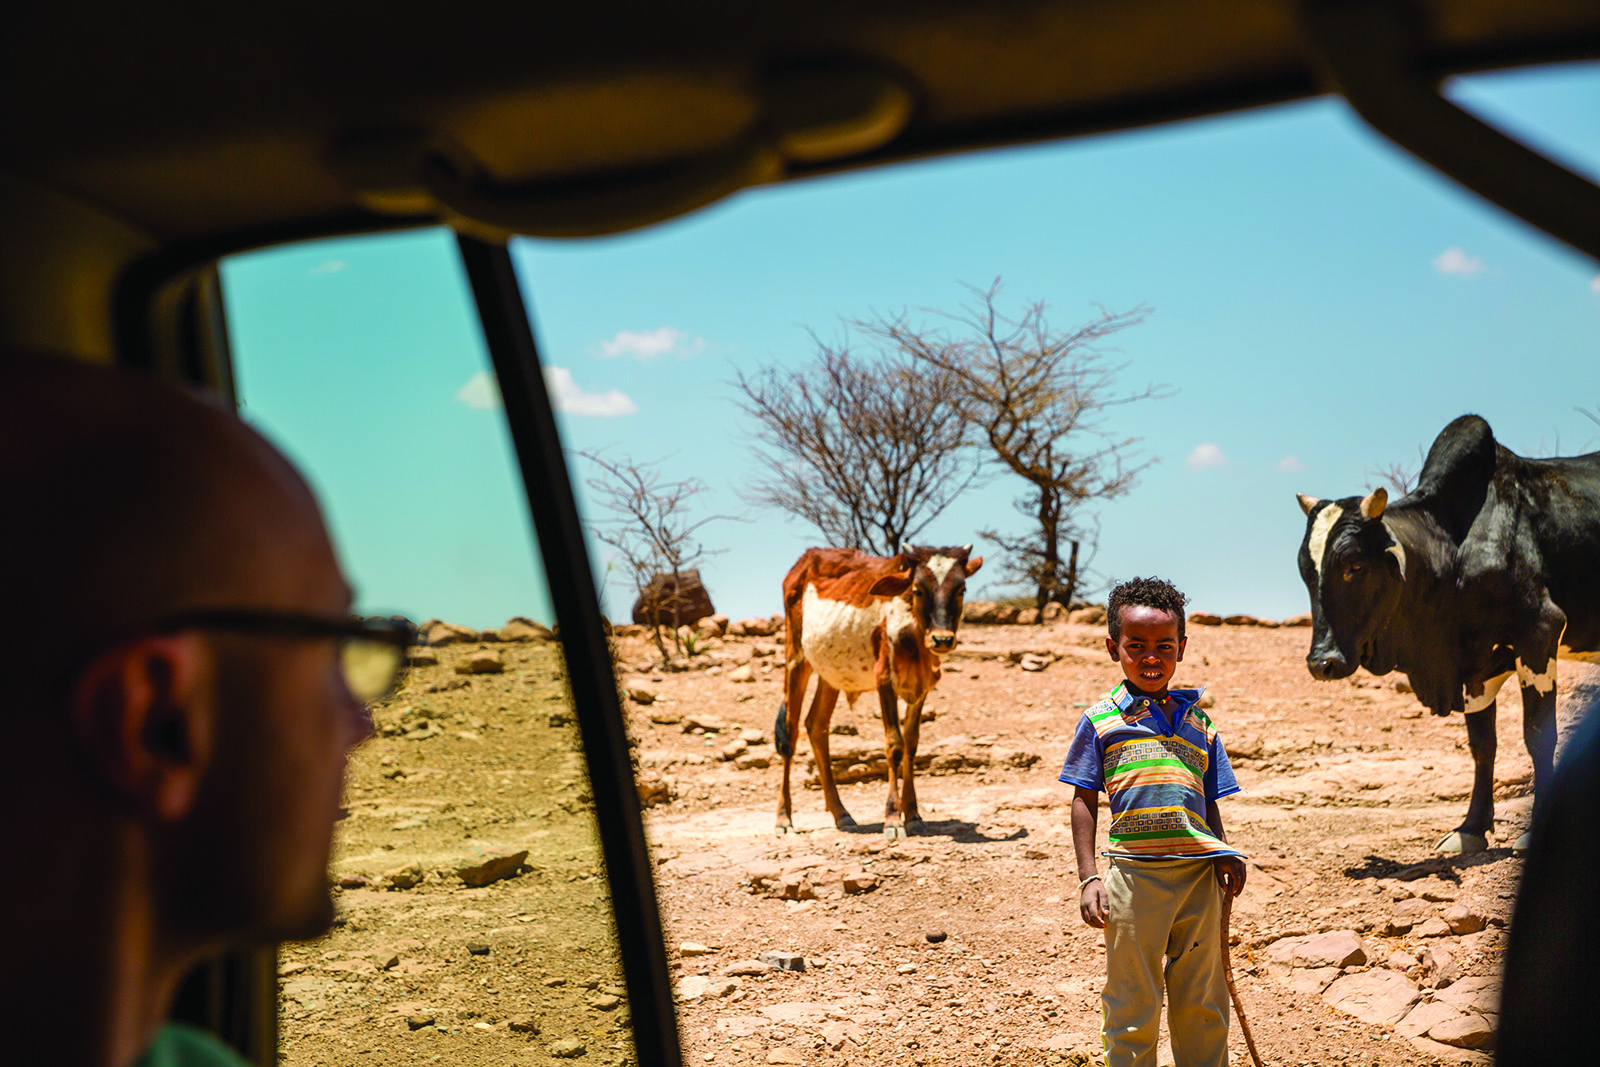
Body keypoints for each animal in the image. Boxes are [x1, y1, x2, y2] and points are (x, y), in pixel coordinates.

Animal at [771, 547, 979, 838]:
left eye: (961, 589)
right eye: (918, 590)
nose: (942, 639)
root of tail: (805, 559)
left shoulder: (922, 687)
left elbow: (911, 744)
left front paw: (913, 815)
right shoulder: (885, 680)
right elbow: (894, 745)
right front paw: (892, 818)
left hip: (831, 672)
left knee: (816, 725)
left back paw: (841, 814)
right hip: (796, 658)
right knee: (789, 733)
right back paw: (784, 818)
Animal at [1299, 412, 1600, 857]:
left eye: (1354, 565)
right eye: (1306, 569)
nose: (1323, 662)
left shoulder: (1539, 635)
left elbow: (1538, 737)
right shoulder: (1474, 664)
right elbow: (1482, 744)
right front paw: (1471, 827)